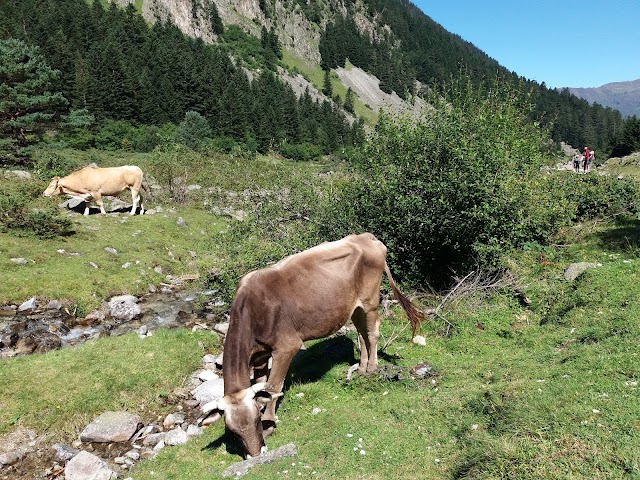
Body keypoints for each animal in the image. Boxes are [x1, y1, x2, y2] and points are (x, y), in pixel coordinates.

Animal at [198, 234, 422, 460]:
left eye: (255, 421)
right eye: (233, 431)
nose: (256, 454)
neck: (253, 311)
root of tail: (366, 236)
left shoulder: (286, 347)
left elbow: (274, 386)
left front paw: (269, 423)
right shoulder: (260, 356)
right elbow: (262, 385)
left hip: (370, 301)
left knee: (373, 332)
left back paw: (373, 368)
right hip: (353, 306)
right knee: (361, 333)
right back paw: (361, 368)